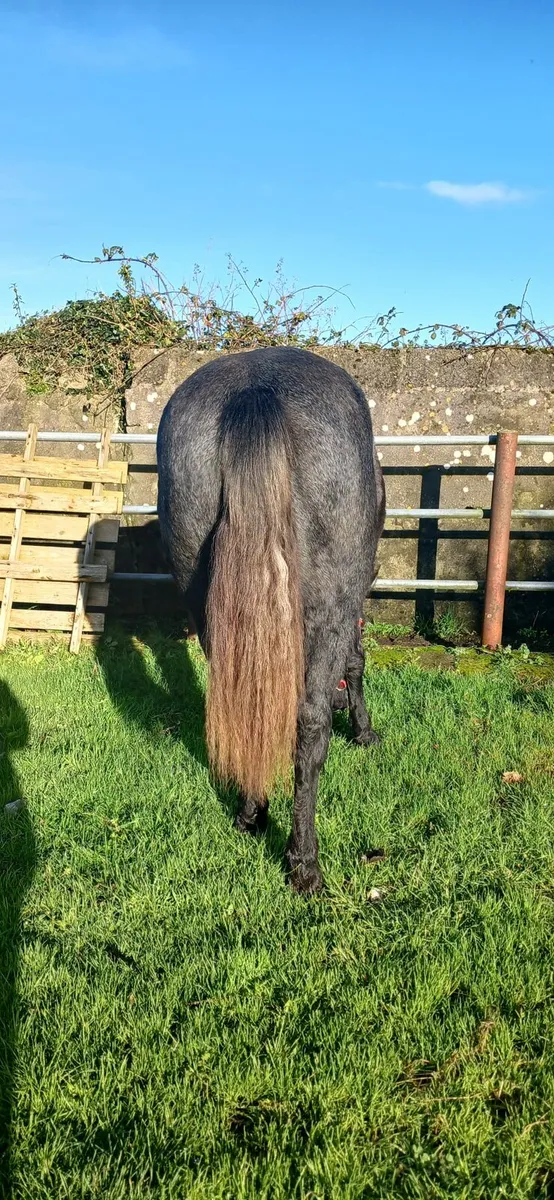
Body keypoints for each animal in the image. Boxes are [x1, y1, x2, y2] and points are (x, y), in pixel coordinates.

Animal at [157, 346, 385, 893]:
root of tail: (255, 387)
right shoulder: (348, 607)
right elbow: (356, 661)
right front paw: (364, 731)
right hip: (327, 605)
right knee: (309, 726)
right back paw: (304, 862)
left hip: (206, 606)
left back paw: (251, 813)